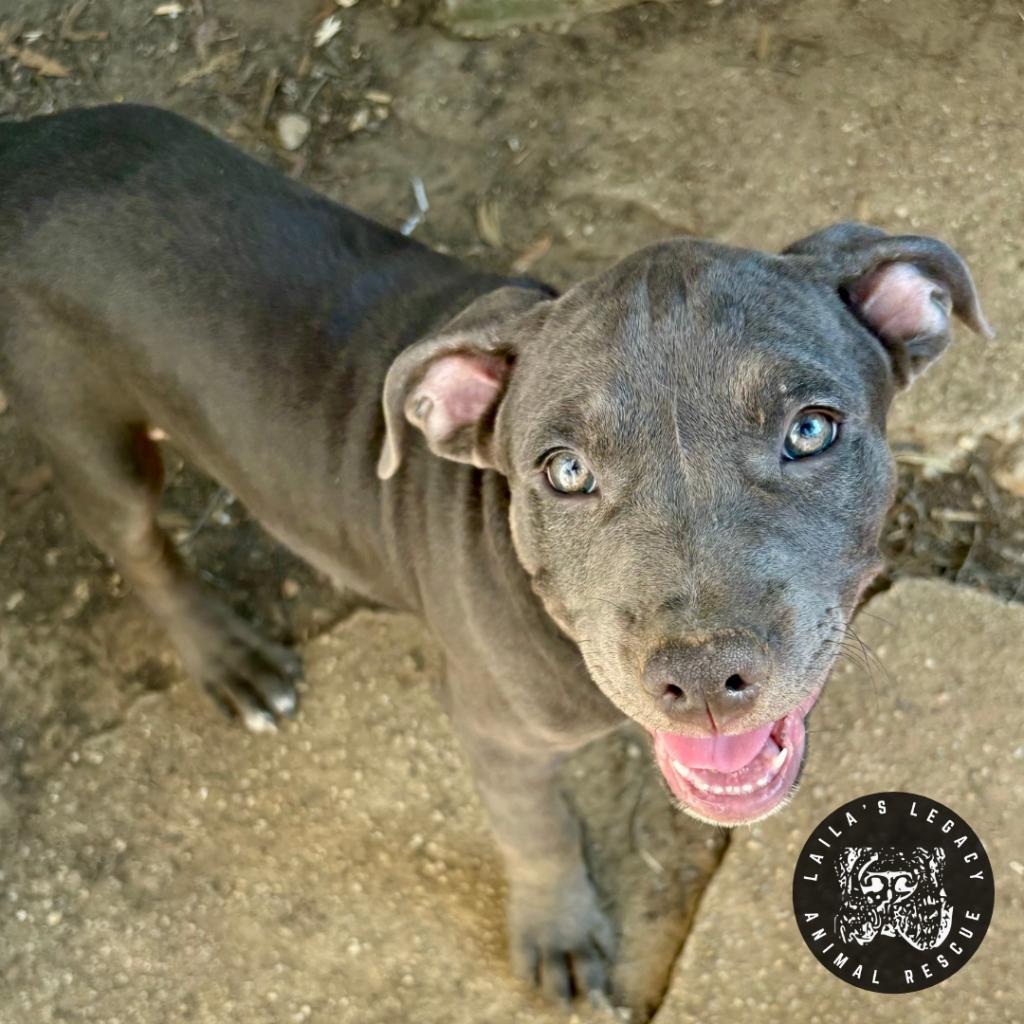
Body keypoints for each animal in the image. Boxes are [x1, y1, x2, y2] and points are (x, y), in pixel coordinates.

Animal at [2, 108, 991, 1003]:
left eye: (811, 430)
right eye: (565, 471)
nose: (705, 678)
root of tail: (26, 143)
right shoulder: (494, 733)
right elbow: (538, 832)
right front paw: (559, 933)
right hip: (86, 432)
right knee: (141, 549)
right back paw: (232, 662)